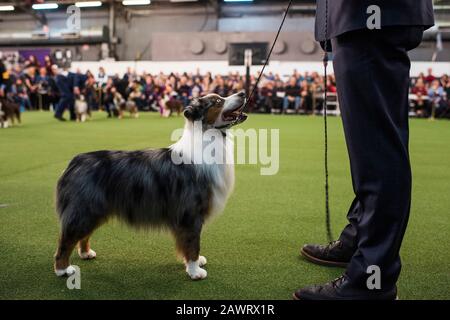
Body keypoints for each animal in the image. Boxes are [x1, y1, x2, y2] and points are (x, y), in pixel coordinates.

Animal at [55, 90, 250, 280]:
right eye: (217, 101)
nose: (242, 93)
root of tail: (74, 162)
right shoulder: (191, 212)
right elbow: (193, 243)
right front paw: (195, 271)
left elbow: (187, 244)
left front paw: (193, 263)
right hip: (84, 208)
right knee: (66, 240)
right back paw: (63, 269)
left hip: (94, 210)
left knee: (83, 235)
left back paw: (86, 253)